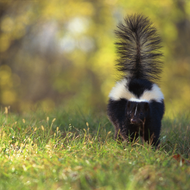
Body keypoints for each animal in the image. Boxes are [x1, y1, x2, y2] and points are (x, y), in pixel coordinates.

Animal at [107, 14, 165, 147]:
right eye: (130, 113)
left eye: (141, 113)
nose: (134, 120)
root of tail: (137, 76)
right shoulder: (122, 111)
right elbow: (125, 128)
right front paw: (130, 143)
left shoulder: (153, 112)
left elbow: (152, 130)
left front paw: (151, 145)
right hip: (113, 110)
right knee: (117, 127)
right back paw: (118, 140)